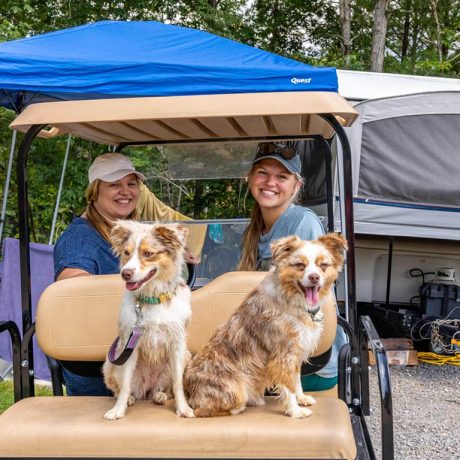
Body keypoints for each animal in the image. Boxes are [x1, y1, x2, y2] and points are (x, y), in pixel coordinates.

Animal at [102, 221, 194, 418]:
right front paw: (118, 410)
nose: (125, 273)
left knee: (163, 389)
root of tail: (147, 388)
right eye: (126, 253)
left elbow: (178, 384)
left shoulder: (177, 343)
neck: (153, 298)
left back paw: (160, 396)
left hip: (186, 357)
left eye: (148, 254)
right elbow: (125, 384)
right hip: (110, 363)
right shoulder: (129, 343)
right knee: (121, 388)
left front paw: (183, 408)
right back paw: (130, 399)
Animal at [185, 234, 346, 416]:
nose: (314, 277)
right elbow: (288, 386)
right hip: (236, 391)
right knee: (205, 410)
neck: (292, 300)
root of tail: (188, 393)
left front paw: (301, 399)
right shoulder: (283, 355)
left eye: (323, 265)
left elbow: (296, 381)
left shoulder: (296, 352)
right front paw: (295, 411)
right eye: (300, 265)